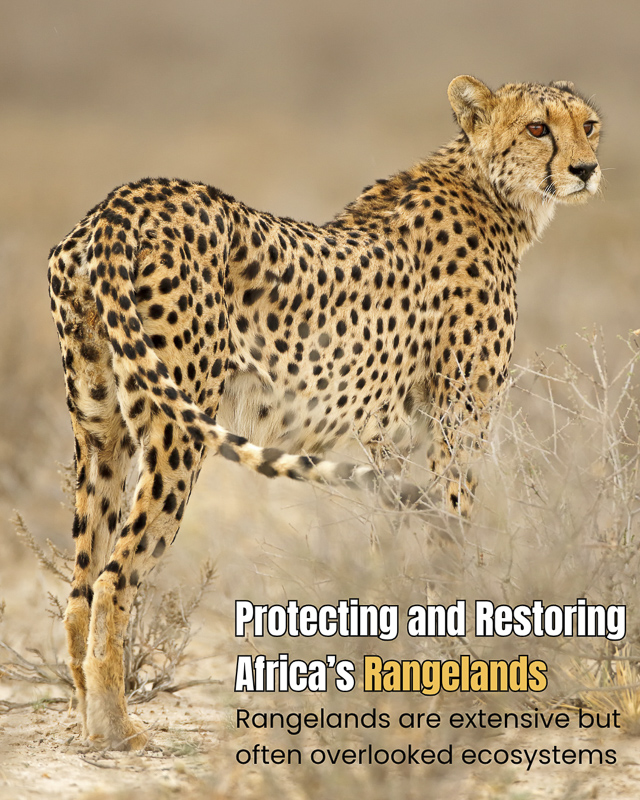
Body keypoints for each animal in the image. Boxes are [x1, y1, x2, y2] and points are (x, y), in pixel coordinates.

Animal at [47, 75, 601, 749]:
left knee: (79, 585)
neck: (493, 191)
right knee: (113, 578)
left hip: (100, 431)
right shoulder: (458, 421)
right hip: (177, 430)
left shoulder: (393, 438)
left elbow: (394, 541)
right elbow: (456, 530)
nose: (585, 169)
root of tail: (118, 204)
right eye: (537, 128)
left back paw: (87, 723)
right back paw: (119, 731)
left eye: (588, 125)